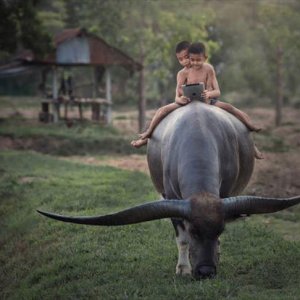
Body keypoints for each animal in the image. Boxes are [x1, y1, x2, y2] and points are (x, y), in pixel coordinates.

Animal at [38, 101, 300, 278]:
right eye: (194, 231)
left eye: (220, 230)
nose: (206, 271)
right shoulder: (172, 199)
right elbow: (180, 239)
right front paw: (183, 268)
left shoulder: (224, 195)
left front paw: (216, 254)